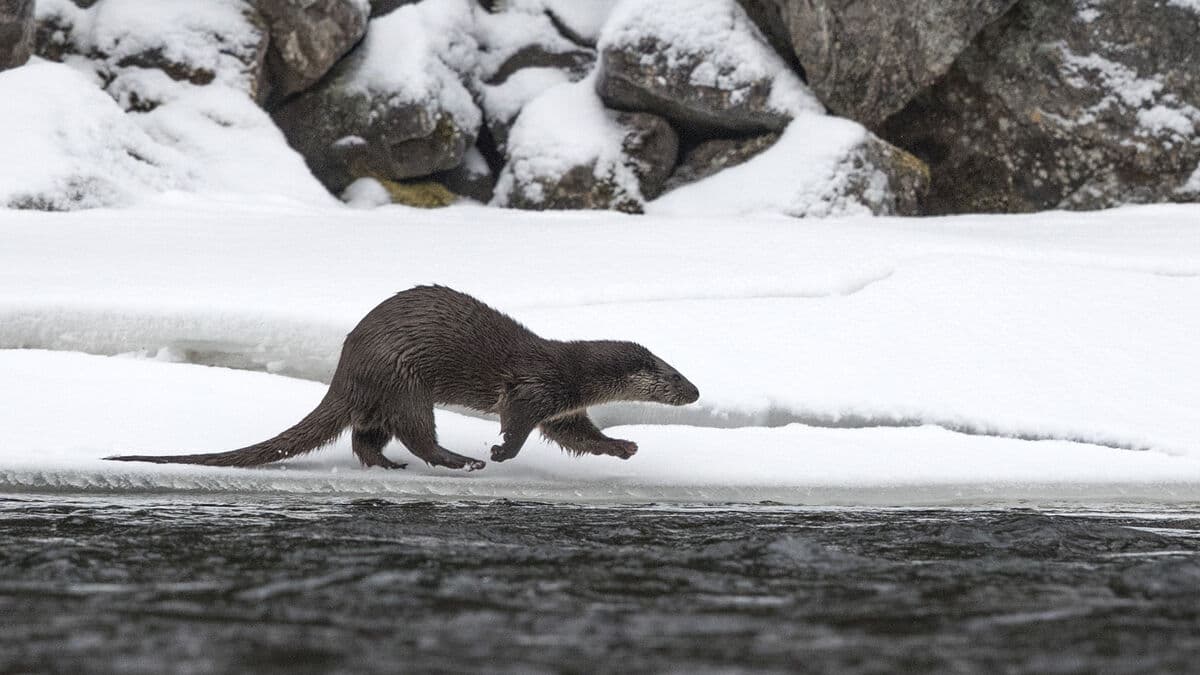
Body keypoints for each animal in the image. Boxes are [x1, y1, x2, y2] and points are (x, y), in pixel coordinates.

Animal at [106, 285, 699, 471]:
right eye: (672, 376)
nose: (695, 391)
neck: (573, 371)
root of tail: (345, 368)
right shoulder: (537, 387)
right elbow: (518, 421)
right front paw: (501, 452)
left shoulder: (564, 407)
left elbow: (579, 435)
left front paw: (623, 446)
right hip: (404, 380)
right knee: (417, 434)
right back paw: (462, 461)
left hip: (383, 393)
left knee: (366, 435)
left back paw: (384, 464)